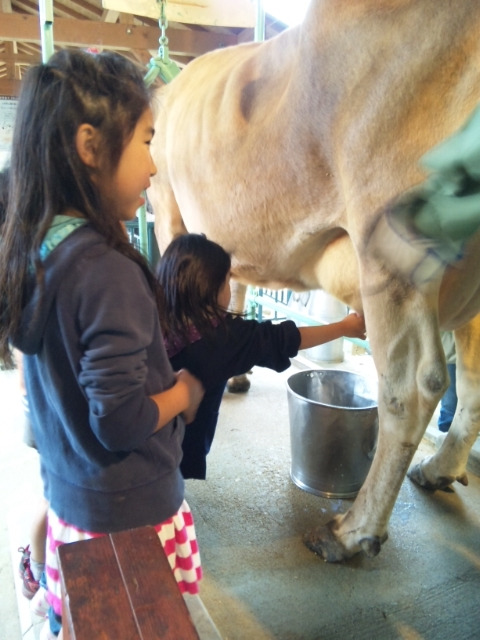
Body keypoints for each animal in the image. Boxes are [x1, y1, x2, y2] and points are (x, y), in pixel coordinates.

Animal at [148, 0, 480, 560]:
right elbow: (233, 288)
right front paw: (237, 373)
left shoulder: (168, 205)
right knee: (473, 382)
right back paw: (437, 469)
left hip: (392, 237)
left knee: (412, 386)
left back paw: (353, 531)